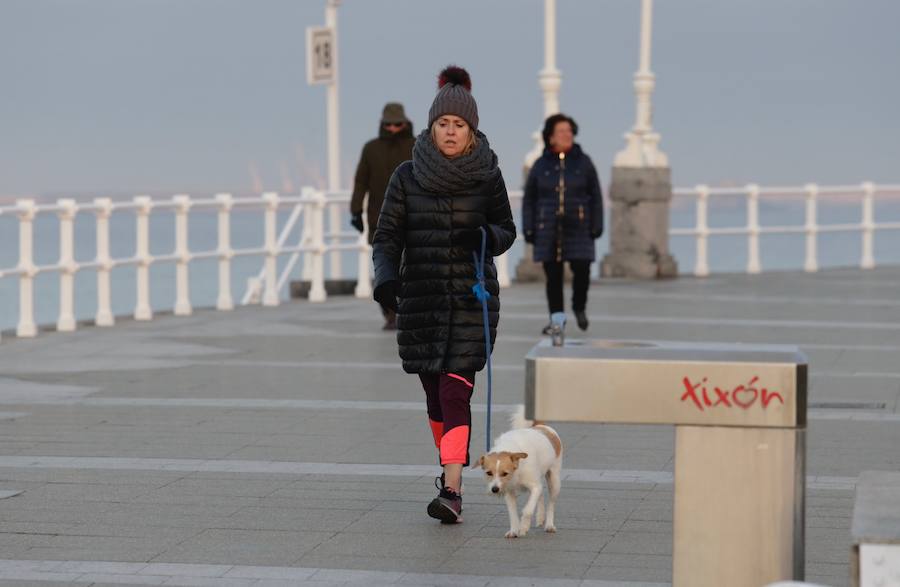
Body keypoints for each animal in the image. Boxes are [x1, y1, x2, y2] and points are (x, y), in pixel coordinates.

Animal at [472, 406, 564, 540]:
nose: (494, 489)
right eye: (488, 473)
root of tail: (542, 426)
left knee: (551, 503)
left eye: (505, 473)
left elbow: (528, 510)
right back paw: (540, 517)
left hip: (554, 481)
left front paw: (523, 527)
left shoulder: (534, 487)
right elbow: (512, 513)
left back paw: (549, 525)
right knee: (541, 495)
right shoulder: (508, 491)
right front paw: (514, 530)